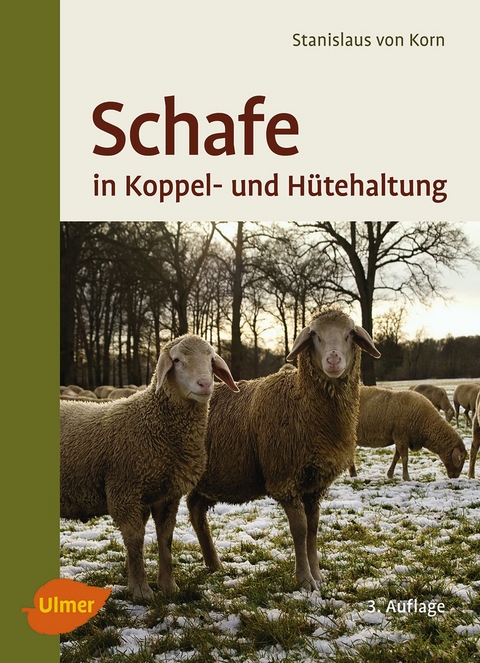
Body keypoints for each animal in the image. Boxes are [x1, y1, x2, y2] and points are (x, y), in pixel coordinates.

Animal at [60, 334, 239, 600]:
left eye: (211, 359)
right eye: (177, 360)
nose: (205, 384)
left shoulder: (168, 494)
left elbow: (166, 538)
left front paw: (168, 585)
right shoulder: (125, 490)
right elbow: (135, 540)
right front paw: (140, 589)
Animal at [187, 309, 381, 591]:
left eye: (350, 334)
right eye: (315, 335)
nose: (333, 360)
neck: (301, 403)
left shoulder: (315, 485)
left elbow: (313, 529)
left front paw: (318, 576)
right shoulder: (285, 478)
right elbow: (299, 529)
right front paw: (304, 580)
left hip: (210, 479)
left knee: (196, 510)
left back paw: (214, 564)